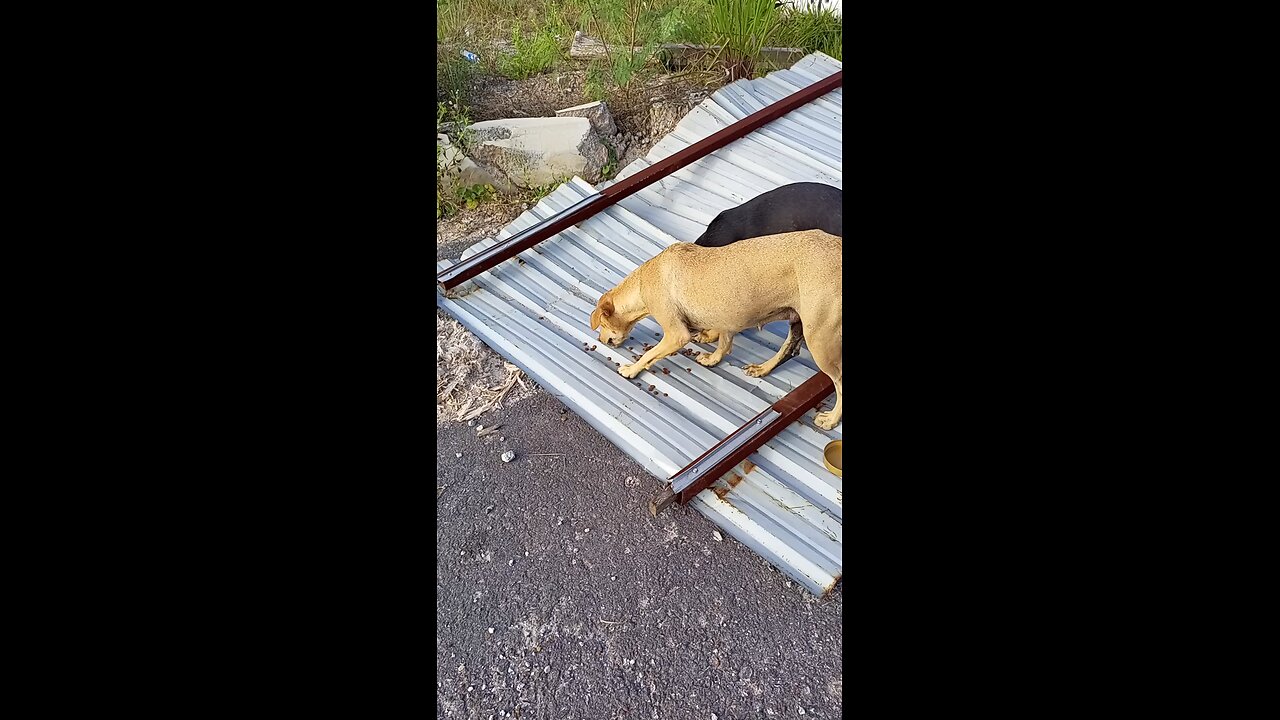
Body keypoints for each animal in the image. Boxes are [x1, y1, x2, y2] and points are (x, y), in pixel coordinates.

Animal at [586, 229, 839, 425]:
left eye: (603, 325)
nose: (600, 340)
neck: (641, 283)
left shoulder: (677, 335)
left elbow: (649, 354)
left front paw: (631, 369)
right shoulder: (728, 316)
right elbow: (725, 342)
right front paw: (713, 358)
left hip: (819, 340)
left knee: (838, 381)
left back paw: (831, 419)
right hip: (800, 321)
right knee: (789, 349)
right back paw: (762, 368)